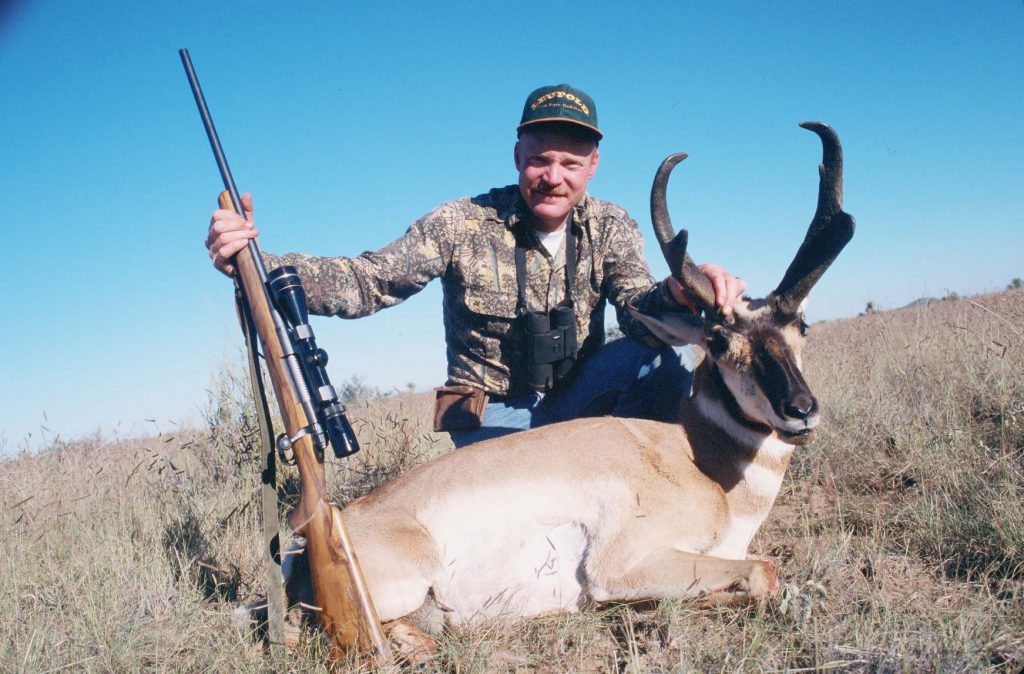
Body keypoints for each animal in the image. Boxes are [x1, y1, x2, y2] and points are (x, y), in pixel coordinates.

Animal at [272, 120, 856, 647]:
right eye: (717, 340)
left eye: (800, 326)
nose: (800, 409)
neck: (696, 460)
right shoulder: (623, 563)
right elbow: (762, 571)